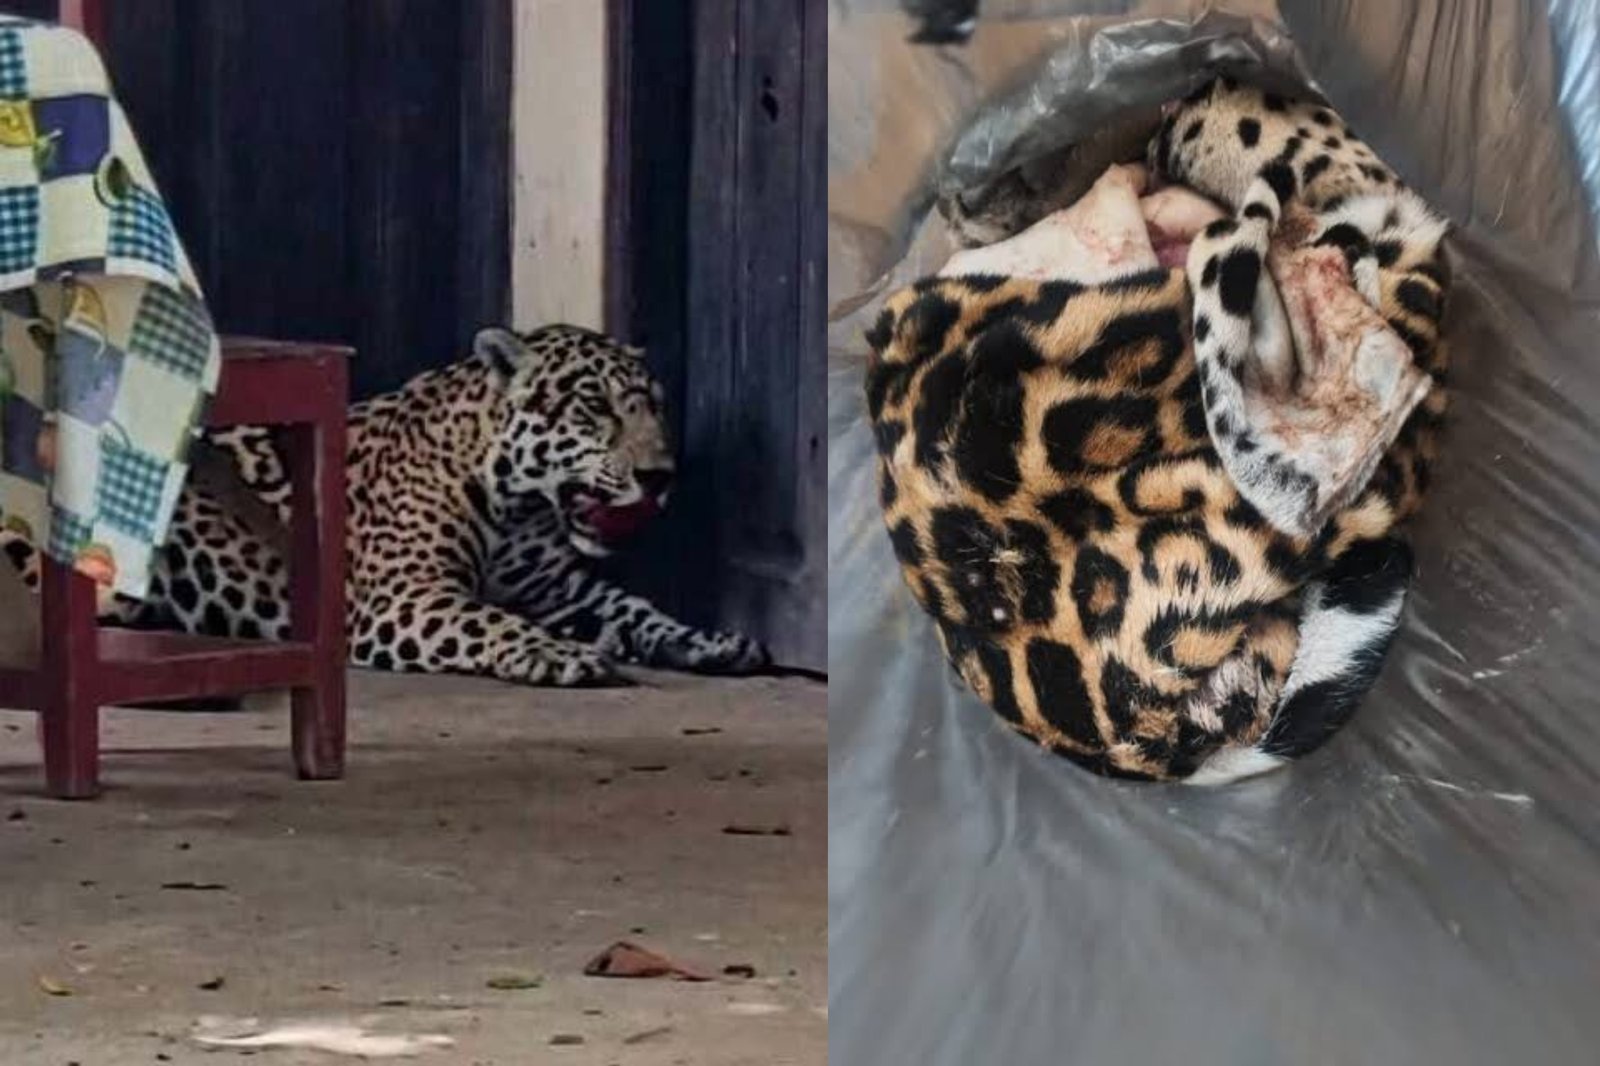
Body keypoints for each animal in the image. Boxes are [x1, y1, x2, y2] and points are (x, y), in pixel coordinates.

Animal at [3, 324, 770, 687]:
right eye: (595, 407)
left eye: (654, 408)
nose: (661, 475)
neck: (520, 508)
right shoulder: (407, 595)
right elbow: (493, 621)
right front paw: (558, 654)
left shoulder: (560, 590)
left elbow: (638, 610)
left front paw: (712, 642)